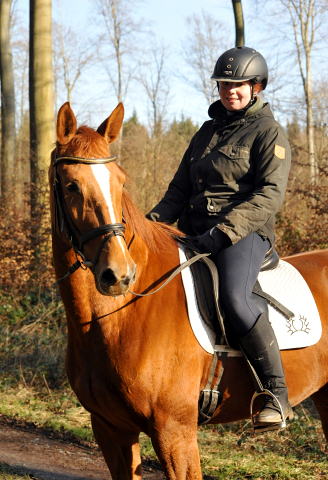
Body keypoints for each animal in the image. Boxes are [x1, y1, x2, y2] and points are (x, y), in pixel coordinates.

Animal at [50, 100, 328, 476]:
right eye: (71, 186)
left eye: (121, 183)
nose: (119, 275)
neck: (118, 317)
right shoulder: (110, 429)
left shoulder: (174, 431)